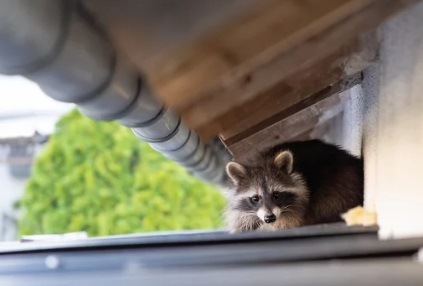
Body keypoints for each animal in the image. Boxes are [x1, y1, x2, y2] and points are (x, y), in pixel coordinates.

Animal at [225, 140, 364, 233]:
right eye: (255, 198)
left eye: (276, 195)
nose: (269, 218)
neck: (262, 161)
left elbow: (291, 221)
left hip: (340, 185)